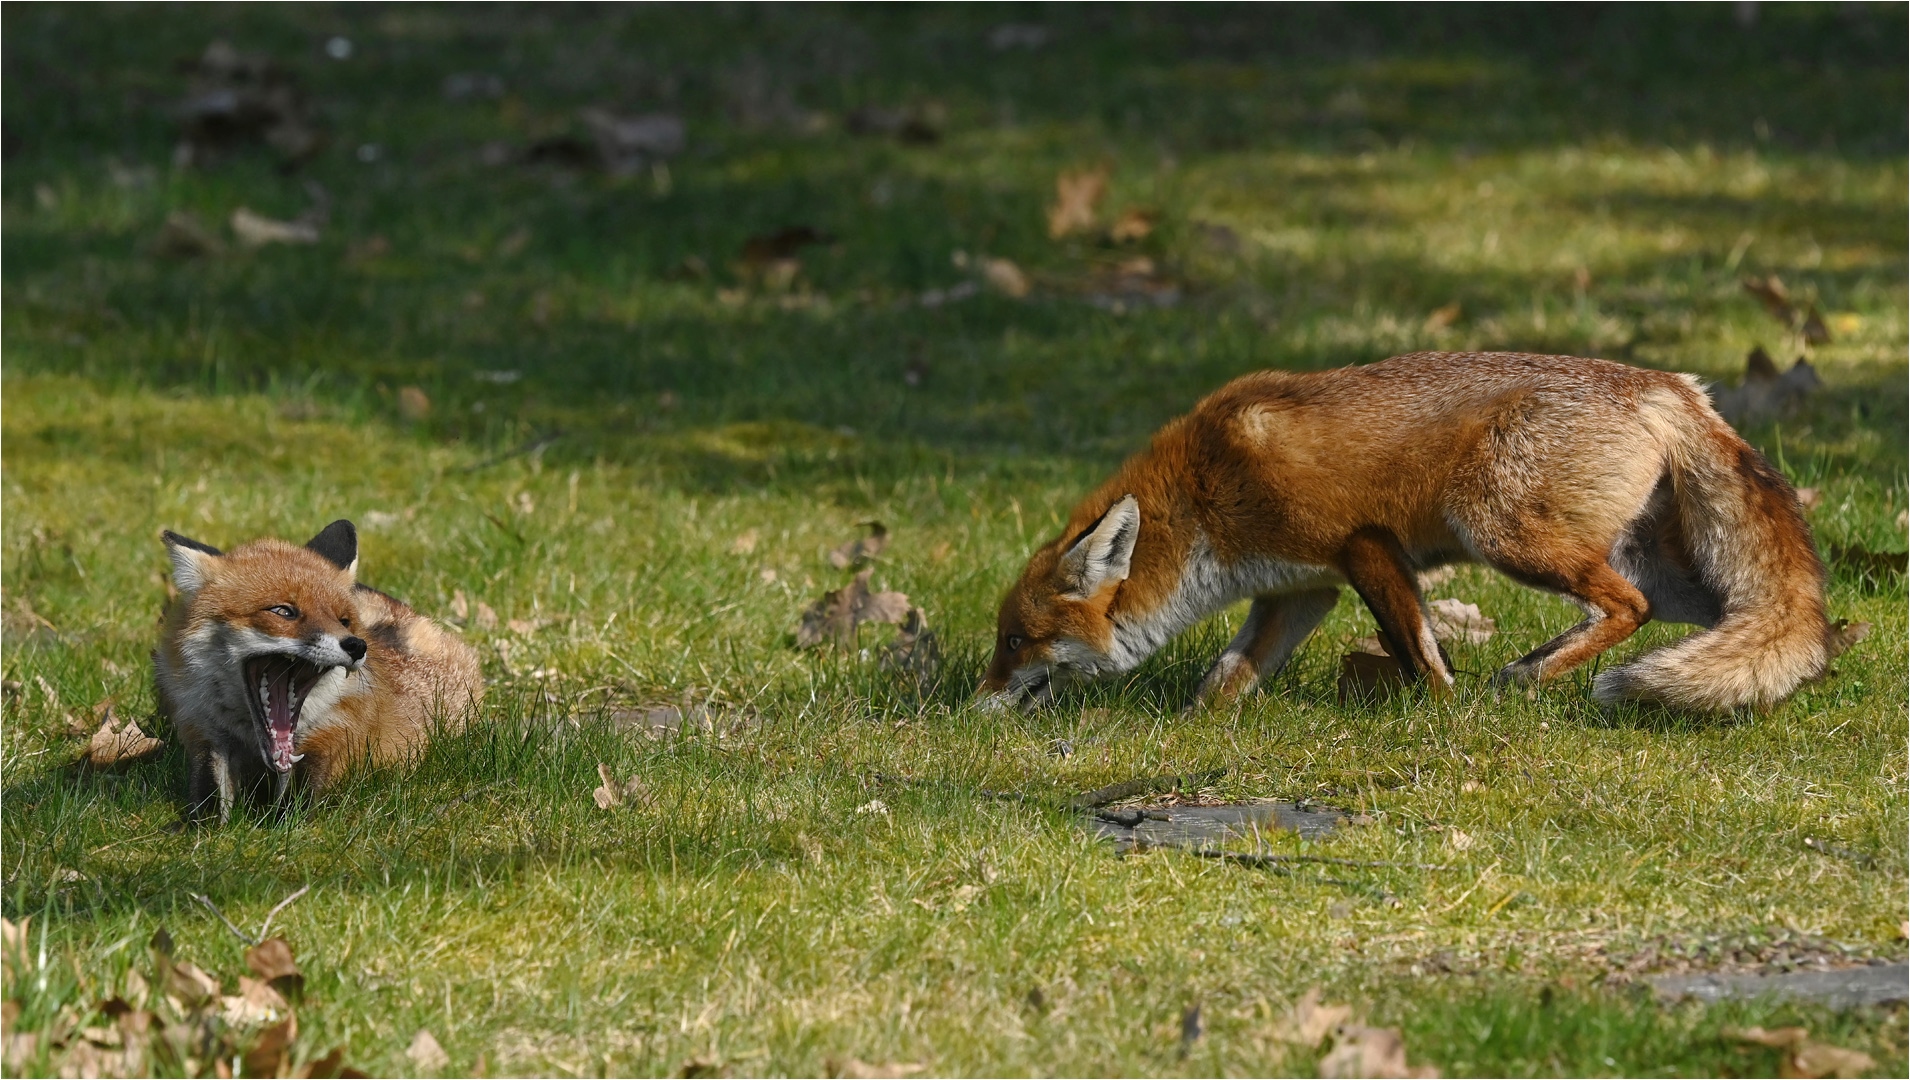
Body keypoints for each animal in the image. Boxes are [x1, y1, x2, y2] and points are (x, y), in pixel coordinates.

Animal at [156, 516, 485, 821]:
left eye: (343, 620)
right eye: (283, 611)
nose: (356, 646)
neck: (253, 744)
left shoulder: (334, 734)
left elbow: (296, 804)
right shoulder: (206, 732)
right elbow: (209, 800)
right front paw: (196, 828)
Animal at [985, 349, 1833, 711]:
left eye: (1015, 642)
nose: (973, 707)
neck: (1205, 488)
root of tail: (1667, 384)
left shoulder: (1363, 545)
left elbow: (1420, 655)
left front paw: (1443, 721)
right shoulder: (1300, 591)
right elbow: (1224, 677)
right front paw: (1198, 726)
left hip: (1498, 527)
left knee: (1627, 607)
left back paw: (1524, 677)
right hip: (1669, 571)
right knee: (1765, 626)